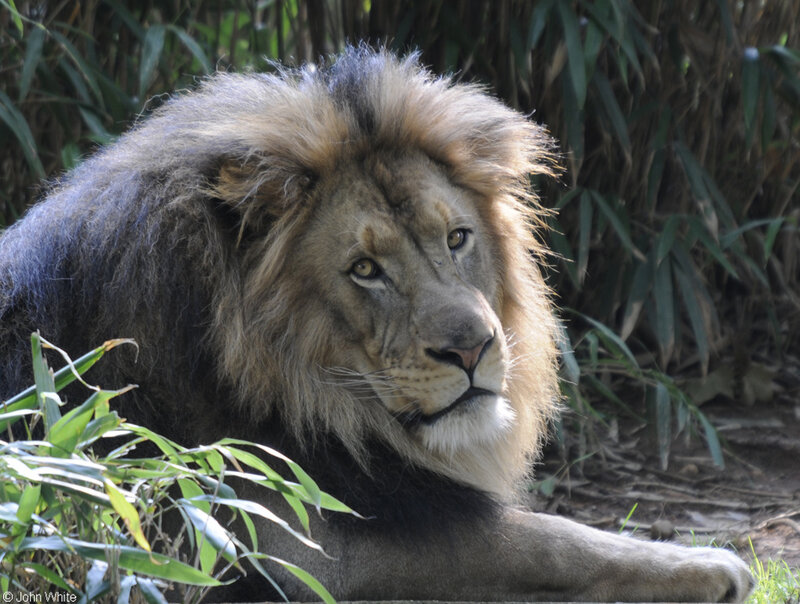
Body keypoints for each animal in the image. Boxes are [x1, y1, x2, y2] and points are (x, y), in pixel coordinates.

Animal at [0, 47, 753, 602]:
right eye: (365, 270)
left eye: (456, 238)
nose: (475, 349)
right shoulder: (295, 546)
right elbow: (537, 536)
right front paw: (711, 567)